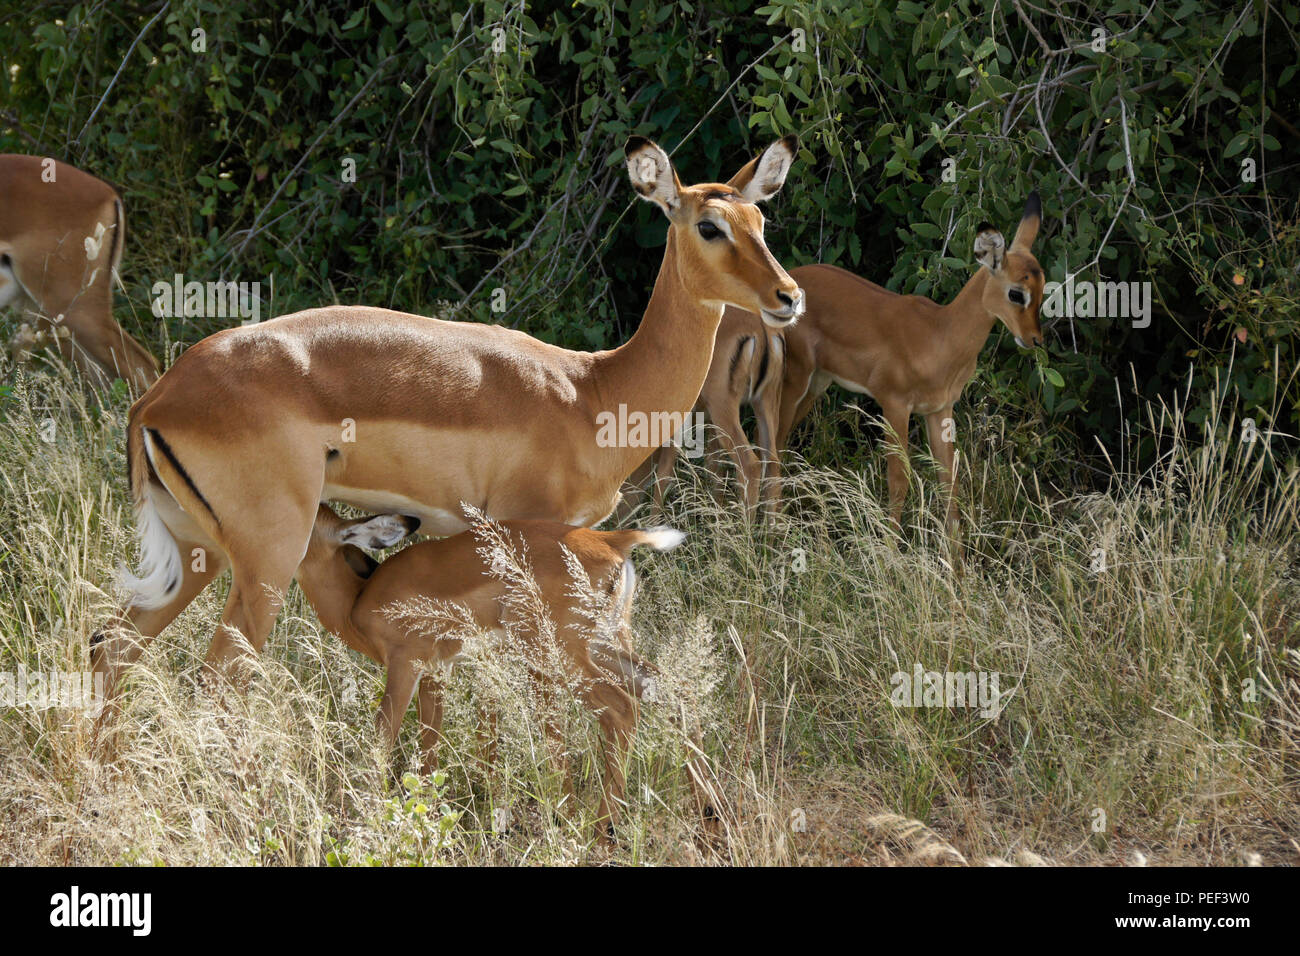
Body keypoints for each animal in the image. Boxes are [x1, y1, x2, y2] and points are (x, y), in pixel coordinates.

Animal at [295, 504, 717, 832]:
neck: (357, 599)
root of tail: (613, 541)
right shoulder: (438, 671)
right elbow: (429, 748)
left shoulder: (405, 664)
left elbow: (383, 735)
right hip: (604, 645)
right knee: (672, 687)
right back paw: (709, 815)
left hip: (560, 654)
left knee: (621, 708)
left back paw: (602, 830)